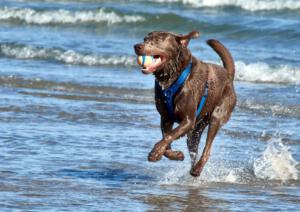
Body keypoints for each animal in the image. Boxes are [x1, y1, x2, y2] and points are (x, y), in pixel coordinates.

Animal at [134, 30, 237, 176]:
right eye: (145, 39)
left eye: (158, 40)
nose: (137, 46)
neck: (171, 77)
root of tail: (228, 74)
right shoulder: (166, 118)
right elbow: (167, 139)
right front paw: (175, 155)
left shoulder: (188, 120)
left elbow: (169, 136)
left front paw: (155, 152)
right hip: (196, 129)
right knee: (193, 147)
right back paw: (193, 168)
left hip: (217, 115)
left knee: (208, 147)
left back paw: (197, 169)